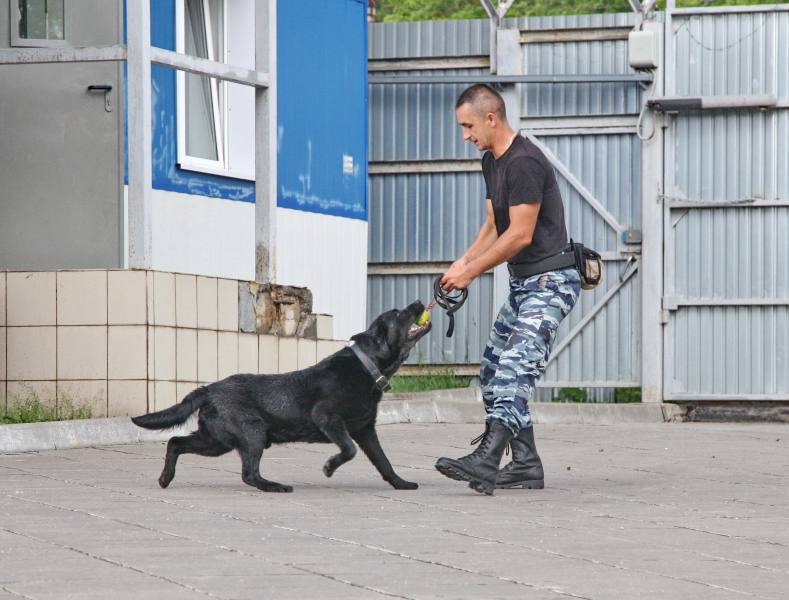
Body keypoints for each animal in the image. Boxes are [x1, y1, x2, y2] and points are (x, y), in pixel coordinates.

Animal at [134, 300, 430, 492]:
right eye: (398, 313)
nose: (418, 301)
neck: (367, 366)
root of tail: (208, 389)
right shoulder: (329, 419)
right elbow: (349, 449)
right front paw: (329, 467)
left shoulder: (366, 430)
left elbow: (383, 462)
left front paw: (401, 483)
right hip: (251, 434)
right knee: (249, 473)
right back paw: (275, 486)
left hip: (216, 440)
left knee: (175, 442)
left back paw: (165, 478)